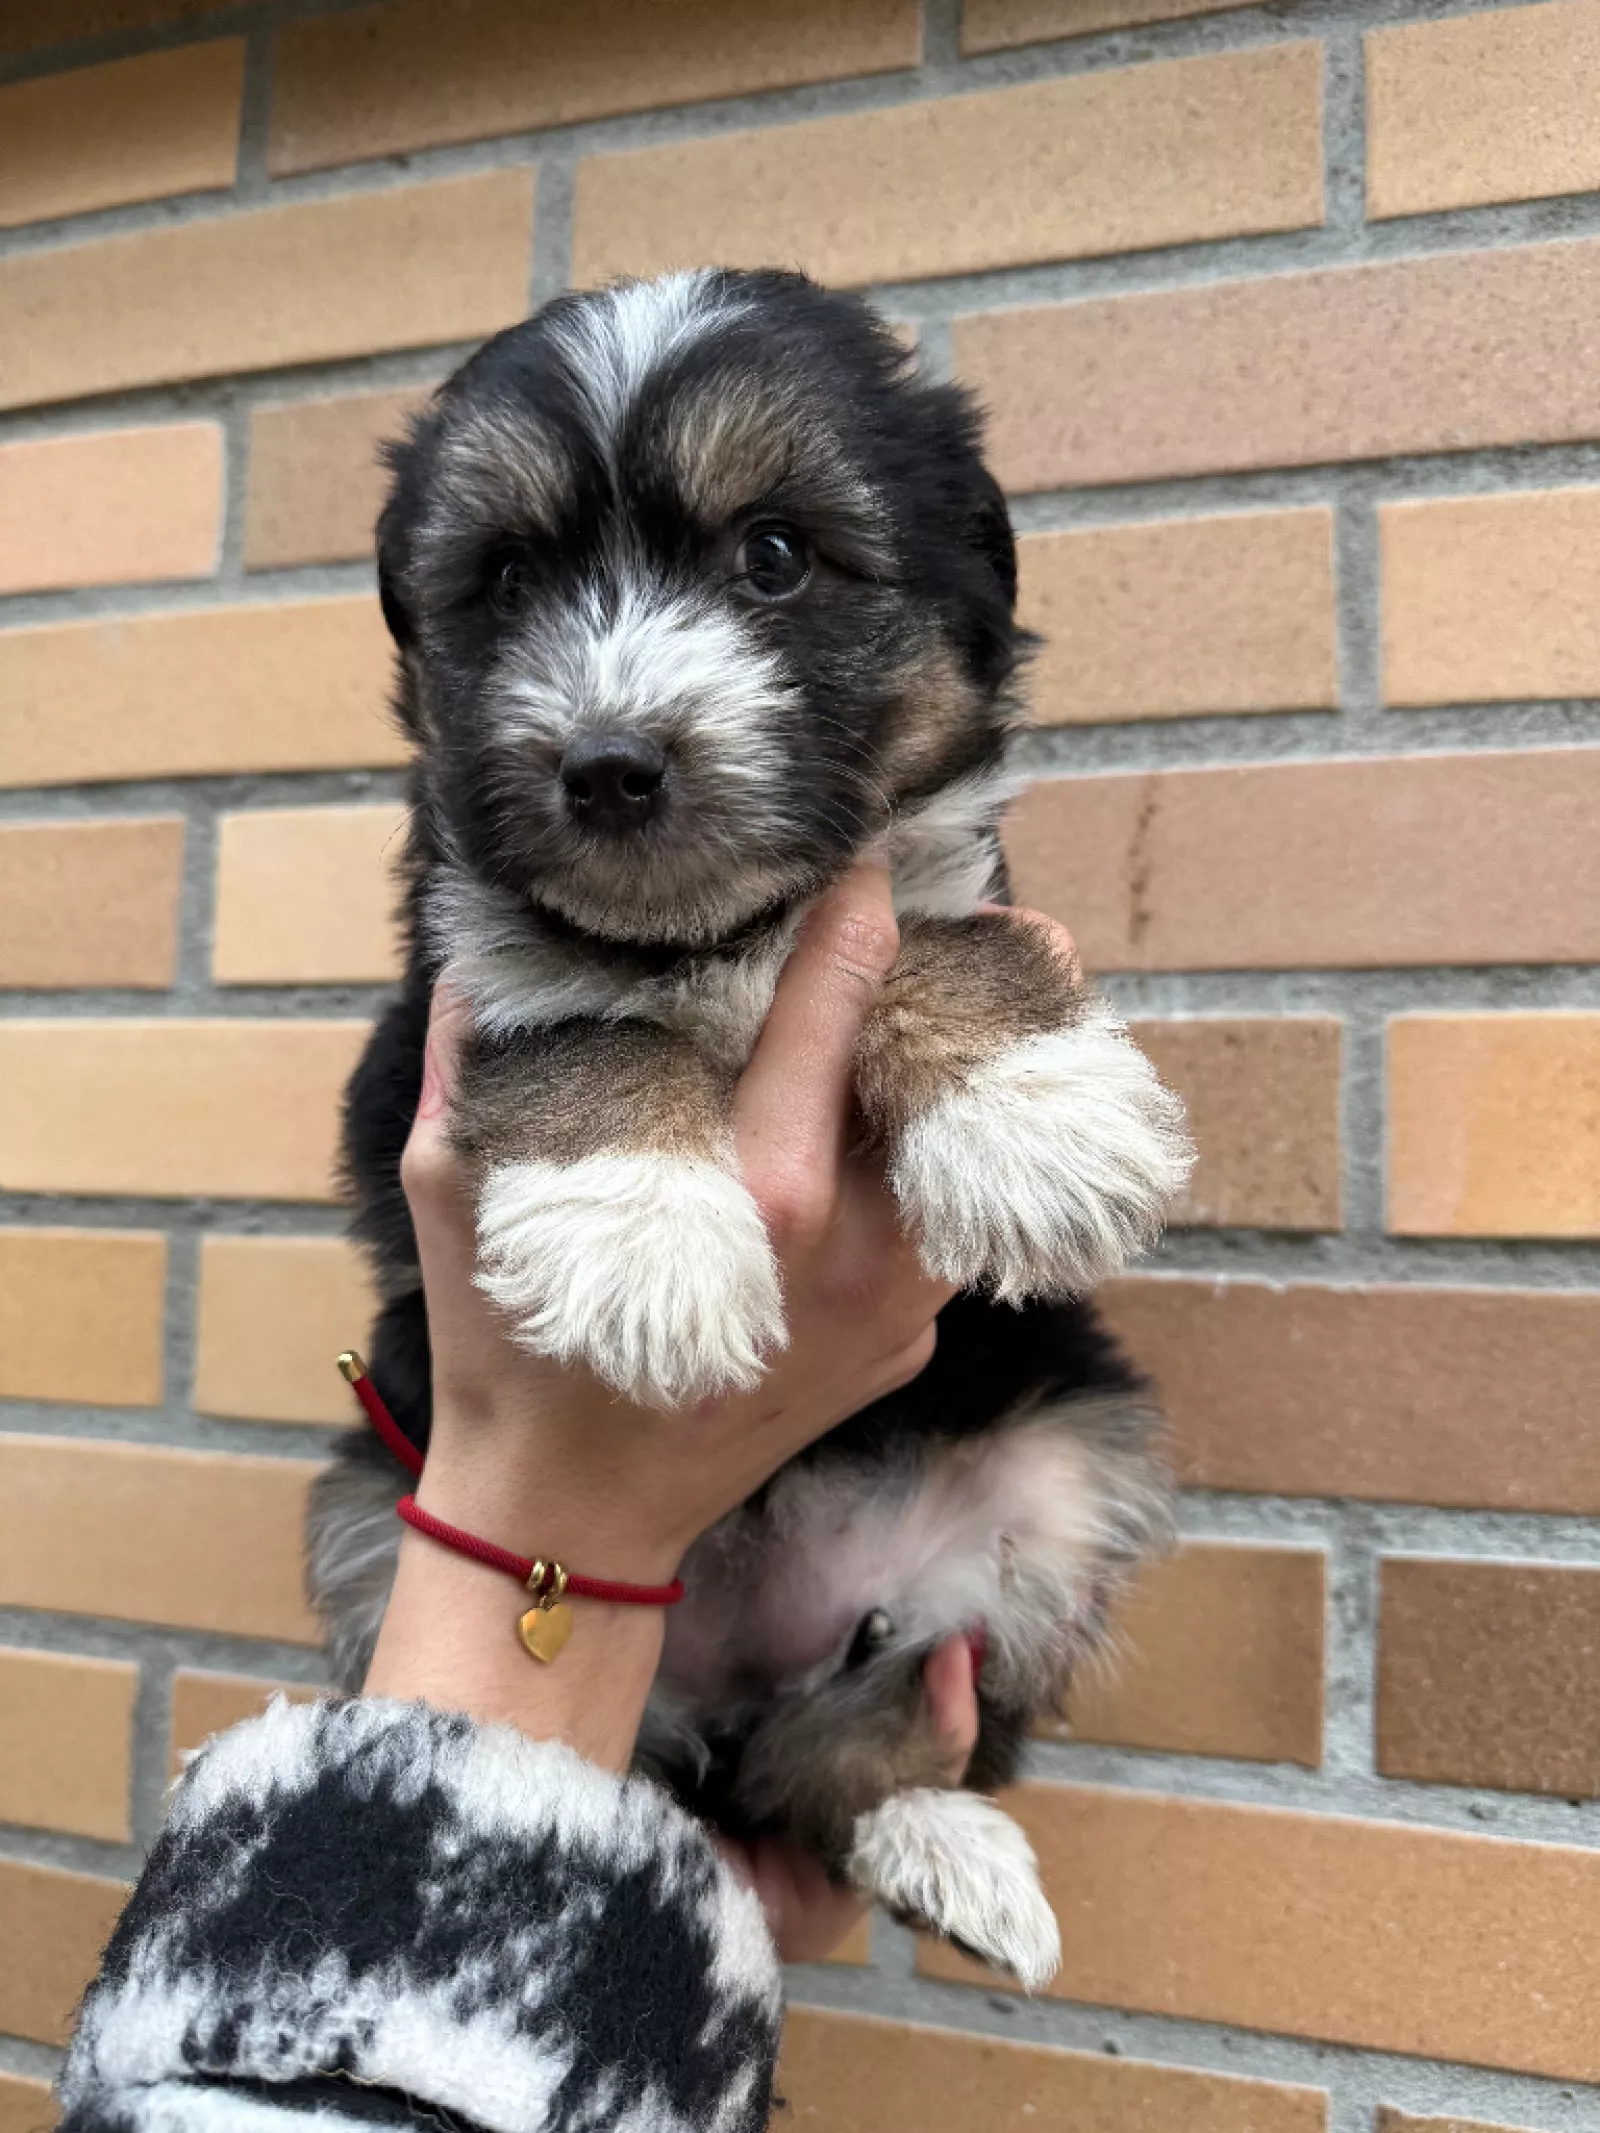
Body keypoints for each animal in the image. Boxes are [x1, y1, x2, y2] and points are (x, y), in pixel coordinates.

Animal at [307, 268, 1193, 1990]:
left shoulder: (921, 871)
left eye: (773, 556)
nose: (606, 766)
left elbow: (941, 934)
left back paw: (948, 1844)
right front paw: (645, 1243)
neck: (722, 932)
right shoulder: (452, 990)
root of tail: (737, 1678)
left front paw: (1034, 1116)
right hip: (375, 1502)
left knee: (868, 1739)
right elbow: (582, 1020)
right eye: (505, 578)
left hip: (1063, 1469)